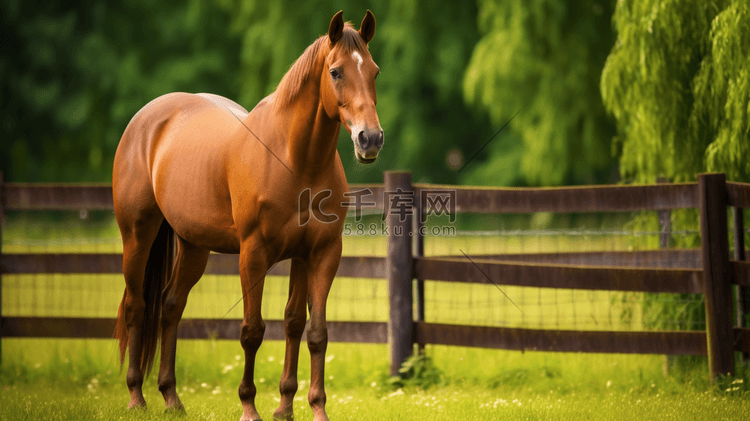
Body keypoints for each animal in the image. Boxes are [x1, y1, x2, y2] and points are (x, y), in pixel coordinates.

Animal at [113, 9, 382, 420]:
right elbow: (253, 331)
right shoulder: (253, 255)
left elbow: (306, 329)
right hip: (137, 235)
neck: (294, 159)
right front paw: (249, 406)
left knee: (171, 307)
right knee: (137, 306)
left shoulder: (318, 255)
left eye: (374, 72)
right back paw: (136, 397)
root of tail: (146, 120)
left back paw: (172, 397)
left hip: (193, 246)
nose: (370, 139)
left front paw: (300, 407)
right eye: (336, 72)